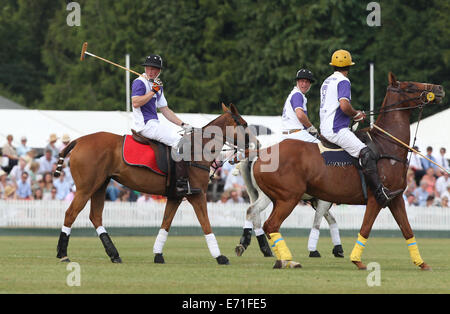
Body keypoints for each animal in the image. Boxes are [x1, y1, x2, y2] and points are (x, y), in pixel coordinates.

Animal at [54, 103, 251, 264]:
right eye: (243, 123)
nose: (251, 146)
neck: (198, 149)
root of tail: (79, 140)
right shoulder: (196, 194)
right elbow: (206, 224)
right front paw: (220, 257)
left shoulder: (175, 196)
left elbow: (166, 223)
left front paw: (158, 255)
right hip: (86, 187)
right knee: (70, 213)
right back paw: (63, 254)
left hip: (100, 185)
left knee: (95, 216)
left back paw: (114, 254)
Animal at [251, 73, 444, 270]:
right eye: (410, 85)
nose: (439, 89)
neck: (388, 145)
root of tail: (259, 157)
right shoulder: (376, 198)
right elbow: (365, 229)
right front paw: (357, 260)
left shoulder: (396, 198)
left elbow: (407, 230)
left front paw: (422, 263)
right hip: (289, 197)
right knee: (271, 225)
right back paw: (287, 259)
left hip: (277, 197)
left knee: (264, 221)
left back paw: (283, 260)